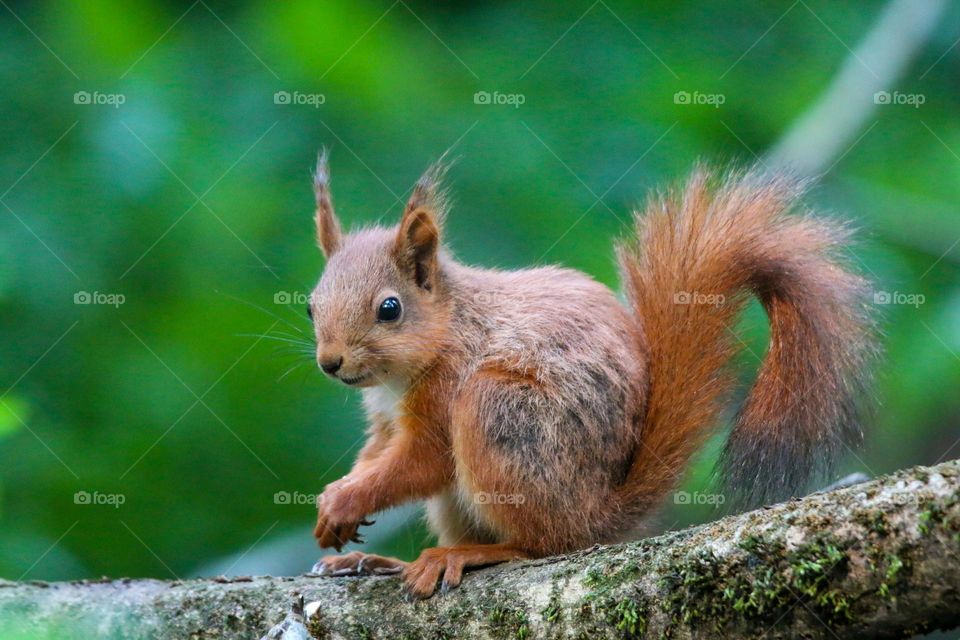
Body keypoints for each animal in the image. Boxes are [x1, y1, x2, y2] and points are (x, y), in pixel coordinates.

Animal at [308, 152, 876, 596]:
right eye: (311, 306)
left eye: (390, 309)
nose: (330, 362)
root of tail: (598, 512)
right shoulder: (384, 415)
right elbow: (378, 452)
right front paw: (338, 507)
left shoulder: (448, 386)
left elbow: (422, 460)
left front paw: (344, 500)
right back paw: (382, 561)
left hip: (501, 415)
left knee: (544, 544)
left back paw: (465, 554)